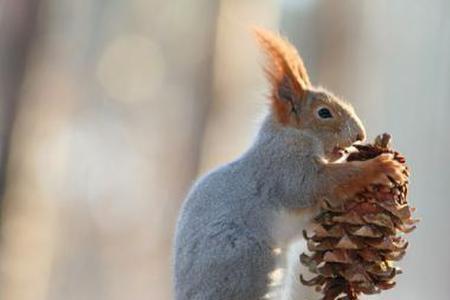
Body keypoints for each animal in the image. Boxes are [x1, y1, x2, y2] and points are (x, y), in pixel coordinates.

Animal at [171, 28, 404, 300]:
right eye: (324, 113)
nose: (360, 134)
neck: (289, 135)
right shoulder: (286, 168)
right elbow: (316, 184)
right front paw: (381, 167)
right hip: (249, 259)